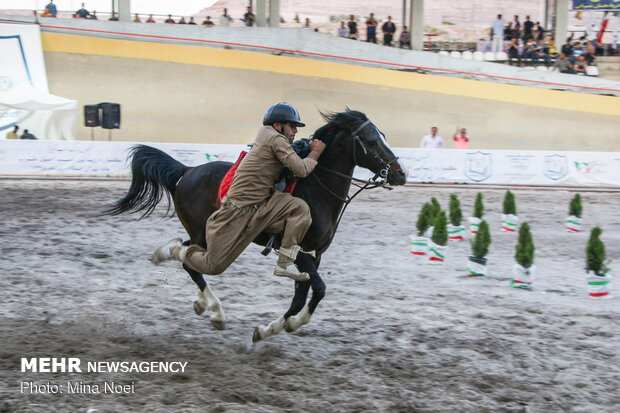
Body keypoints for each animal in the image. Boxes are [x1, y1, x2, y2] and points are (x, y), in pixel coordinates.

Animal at [105, 109, 406, 342]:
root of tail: (187, 171)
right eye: (371, 140)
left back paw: (196, 296)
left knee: (188, 255)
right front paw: (278, 326)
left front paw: (276, 326)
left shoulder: (313, 255)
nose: (401, 174)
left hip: (207, 236)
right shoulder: (300, 251)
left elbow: (302, 294)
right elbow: (318, 289)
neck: (316, 189)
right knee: (192, 261)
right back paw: (215, 310)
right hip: (210, 237)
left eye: (383, 136)